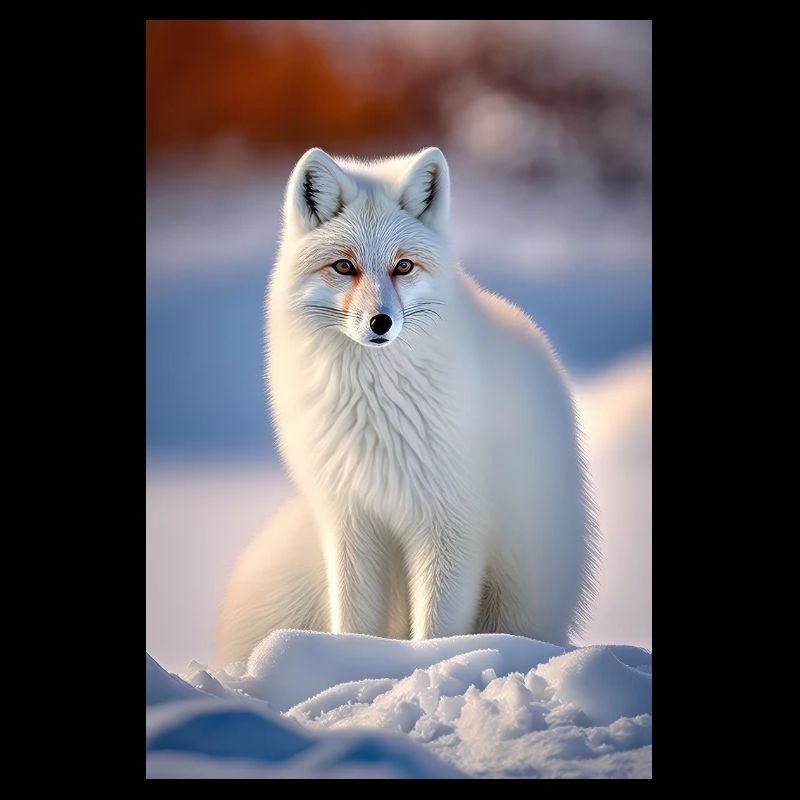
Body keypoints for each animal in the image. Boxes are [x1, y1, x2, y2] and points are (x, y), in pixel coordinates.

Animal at [216, 147, 599, 665]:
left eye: (403, 267)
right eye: (343, 266)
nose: (381, 322)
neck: (374, 408)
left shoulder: (450, 525)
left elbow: (437, 632)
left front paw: (427, 667)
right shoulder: (351, 521)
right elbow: (354, 624)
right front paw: (350, 664)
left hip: (520, 586)